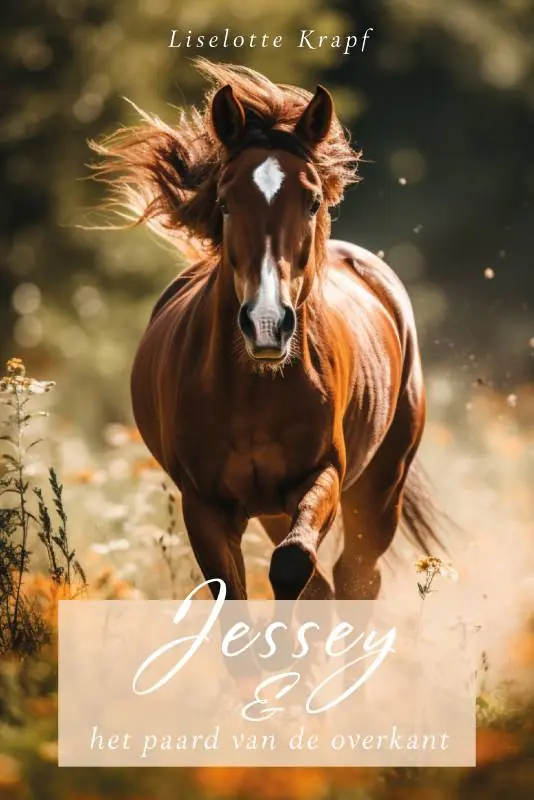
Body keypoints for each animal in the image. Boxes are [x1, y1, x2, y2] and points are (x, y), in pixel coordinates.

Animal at [91, 58, 439, 602]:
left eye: (313, 201)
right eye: (225, 202)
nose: (267, 324)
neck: (253, 392)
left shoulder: (323, 474)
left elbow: (293, 565)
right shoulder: (205, 505)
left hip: (381, 485)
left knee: (356, 576)